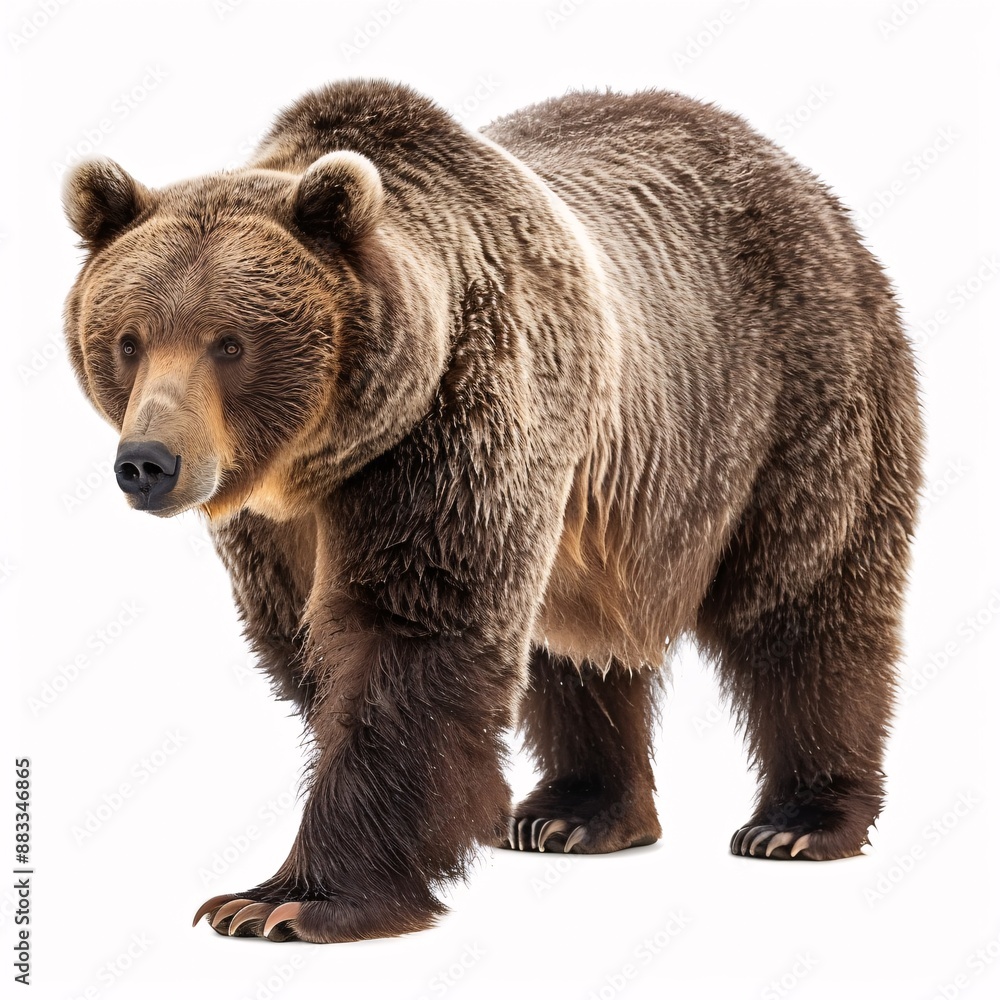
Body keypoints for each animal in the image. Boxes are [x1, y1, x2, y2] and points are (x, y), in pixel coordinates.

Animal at [62, 79, 923, 943]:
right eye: (128, 340)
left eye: (229, 343)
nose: (149, 463)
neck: (327, 455)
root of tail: (797, 175)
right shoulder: (279, 531)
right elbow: (313, 650)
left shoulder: (454, 426)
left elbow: (411, 639)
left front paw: (283, 900)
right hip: (592, 515)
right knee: (575, 647)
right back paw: (576, 812)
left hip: (789, 397)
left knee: (806, 602)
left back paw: (798, 821)